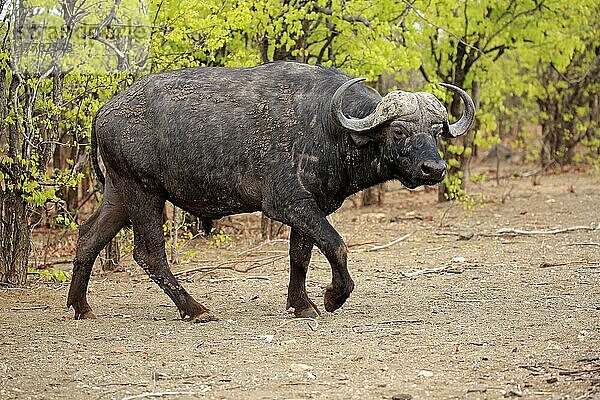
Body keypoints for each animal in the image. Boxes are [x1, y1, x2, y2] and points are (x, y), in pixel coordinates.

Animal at [67, 60, 474, 322]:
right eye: (399, 131)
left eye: (436, 131)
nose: (434, 169)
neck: (327, 125)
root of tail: (105, 110)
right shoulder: (287, 203)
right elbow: (336, 245)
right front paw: (333, 297)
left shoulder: (310, 206)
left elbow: (301, 256)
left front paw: (301, 304)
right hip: (144, 193)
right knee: (149, 254)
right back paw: (195, 309)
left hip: (119, 194)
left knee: (88, 238)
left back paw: (80, 307)